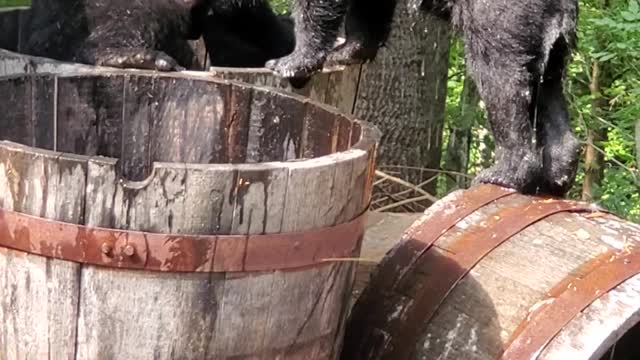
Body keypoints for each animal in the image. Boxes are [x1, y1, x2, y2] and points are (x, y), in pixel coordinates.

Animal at [264, 0, 580, 195]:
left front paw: (293, 61)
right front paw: (346, 50)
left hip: (500, 15)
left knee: (501, 76)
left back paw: (507, 173)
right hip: (553, 41)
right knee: (548, 89)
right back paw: (558, 171)